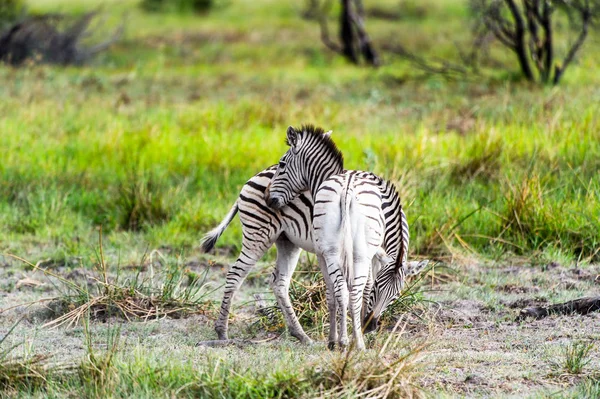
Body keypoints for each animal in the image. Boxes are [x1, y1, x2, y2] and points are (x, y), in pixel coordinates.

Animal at [268, 125, 426, 350]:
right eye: (379, 289)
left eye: (282, 164)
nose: (269, 200)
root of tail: (348, 190)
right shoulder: (372, 257)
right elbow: (360, 290)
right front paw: (356, 331)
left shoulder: (331, 254)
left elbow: (339, 294)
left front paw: (346, 334)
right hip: (356, 252)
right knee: (351, 292)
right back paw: (354, 342)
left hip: (334, 250)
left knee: (343, 291)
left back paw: (346, 341)